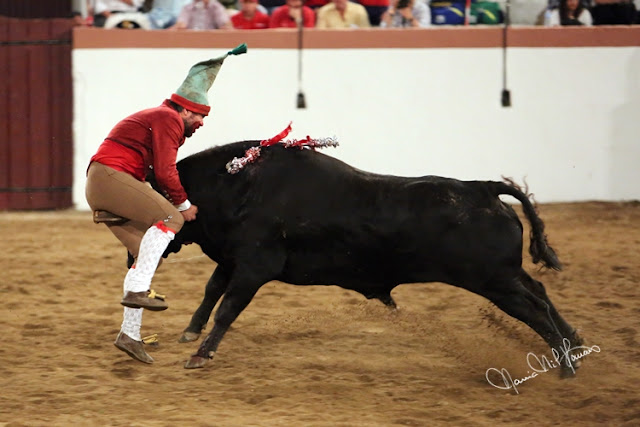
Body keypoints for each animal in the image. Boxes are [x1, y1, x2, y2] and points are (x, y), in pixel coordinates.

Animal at [148, 140, 583, 374]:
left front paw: (200, 354)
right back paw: (576, 346)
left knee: (535, 309)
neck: (239, 184)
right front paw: (191, 332)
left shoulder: (254, 267)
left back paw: (565, 365)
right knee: (541, 292)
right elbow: (212, 291)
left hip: (495, 281)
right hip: (506, 276)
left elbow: (228, 307)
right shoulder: (232, 260)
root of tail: (483, 188)